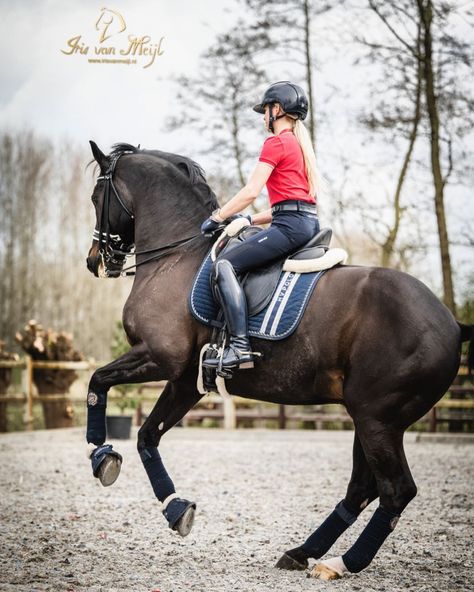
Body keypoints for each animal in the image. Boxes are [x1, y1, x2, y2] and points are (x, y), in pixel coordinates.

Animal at [85, 142, 470, 584]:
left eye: (96, 197)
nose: (95, 260)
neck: (177, 255)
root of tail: (452, 323)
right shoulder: (185, 380)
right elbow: (148, 436)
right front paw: (176, 508)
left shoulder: (158, 357)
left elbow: (97, 382)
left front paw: (101, 456)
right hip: (370, 418)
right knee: (362, 489)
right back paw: (303, 552)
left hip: (378, 419)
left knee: (395, 491)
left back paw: (341, 562)